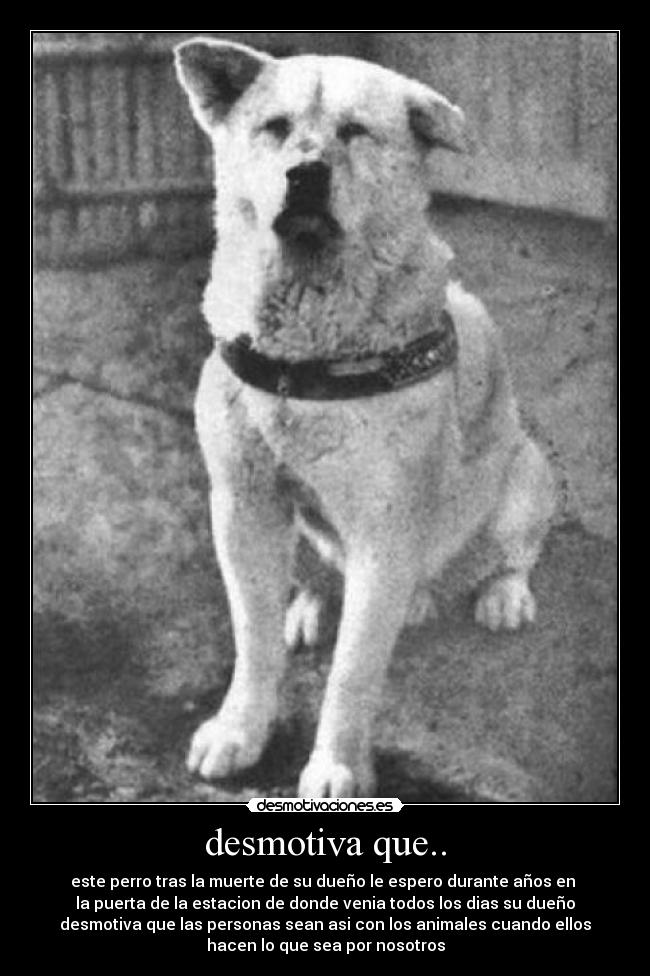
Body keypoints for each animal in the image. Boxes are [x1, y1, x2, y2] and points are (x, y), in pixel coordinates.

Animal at [173, 40, 552, 800]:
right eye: (276, 127)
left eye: (355, 131)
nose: (305, 175)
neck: (307, 357)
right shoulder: (242, 506)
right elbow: (252, 639)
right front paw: (239, 730)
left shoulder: (386, 531)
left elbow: (352, 674)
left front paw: (336, 767)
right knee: (319, 578)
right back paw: (312, 606)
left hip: (526, 473)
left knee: (511, 553)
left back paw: (499, 596)